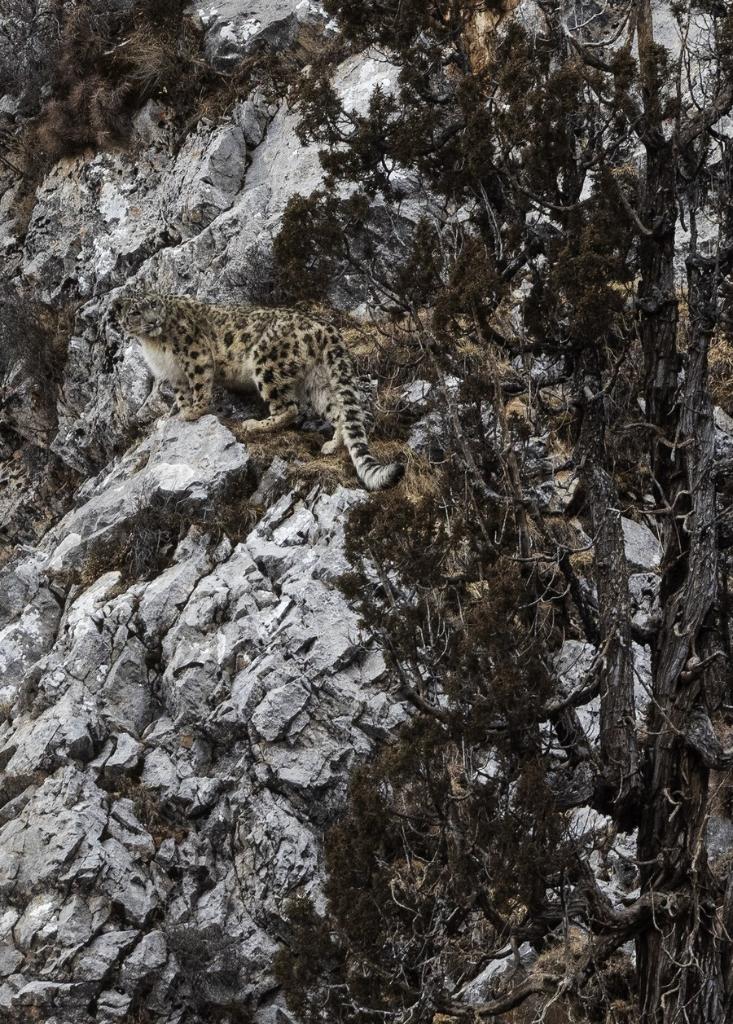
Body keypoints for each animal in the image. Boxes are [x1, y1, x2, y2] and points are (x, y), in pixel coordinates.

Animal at [111, 292, 403, 491]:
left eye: (153, 305)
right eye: (136, 312)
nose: (153, 321)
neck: (152, 345)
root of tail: (324, 326)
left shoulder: (195, 354)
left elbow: (200, 384)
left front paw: (194, 411)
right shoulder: (174, 374)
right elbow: (183, 394)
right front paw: (182, 411)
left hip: (267, 364)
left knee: (289, 408)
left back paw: (256, 425)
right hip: (316, 380)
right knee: (338, 410)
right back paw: (332, 444)